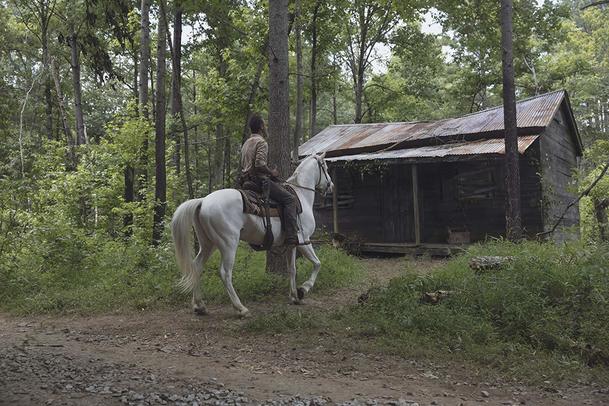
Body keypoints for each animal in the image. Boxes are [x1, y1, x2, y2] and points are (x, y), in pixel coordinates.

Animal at [170, 152, 332, 318]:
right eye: (325, 167)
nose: (331, 185)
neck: (301, 195)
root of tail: (203, 201)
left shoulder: (291, 244)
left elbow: (292, 269)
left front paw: (294, 296)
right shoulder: (304, 240)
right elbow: (317, 263)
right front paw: (303, 289)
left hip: (208, 244)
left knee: (197, 266)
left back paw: (199, 306)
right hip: (228, 244)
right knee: (225, 273)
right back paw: (240, 308)